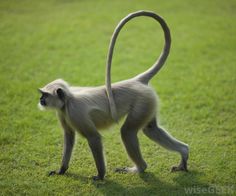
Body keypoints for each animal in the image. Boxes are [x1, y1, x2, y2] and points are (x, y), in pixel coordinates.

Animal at [39, 9, 190, 180]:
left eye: (45, 95)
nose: (40, 99)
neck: (68, 98)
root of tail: (136, 80)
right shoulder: (62, 111)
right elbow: (69, 137)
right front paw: (61, 170)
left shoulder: (75, 112)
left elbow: (94, 138)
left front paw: (100, 175)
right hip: (149, 102)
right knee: (150, 129)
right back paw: (184, 153)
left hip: (142, 102)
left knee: (127, 132)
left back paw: (140, 168)